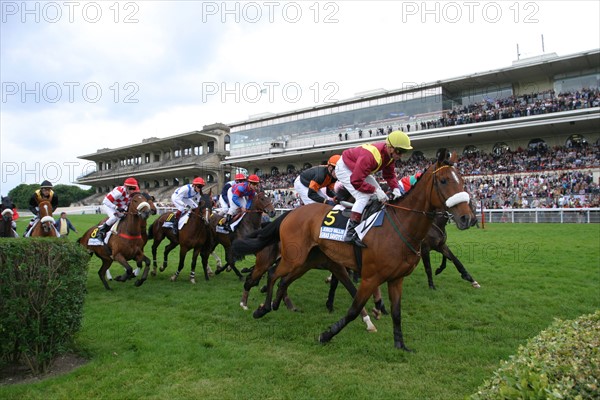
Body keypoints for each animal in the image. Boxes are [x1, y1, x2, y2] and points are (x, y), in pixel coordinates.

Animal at [232, 150, 476, 350]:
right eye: (443, 180)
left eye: (462, 180)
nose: (467, 218)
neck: (400, 226)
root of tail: (290, 213)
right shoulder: (370, 276)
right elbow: (353, 308)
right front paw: (328, 334)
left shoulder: (396, 278)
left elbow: (397, 312)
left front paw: (400, 344)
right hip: (294, 257)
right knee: (271, 273)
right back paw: (260, 307)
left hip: (304, 261)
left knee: (282, 280)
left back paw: (274, 304)